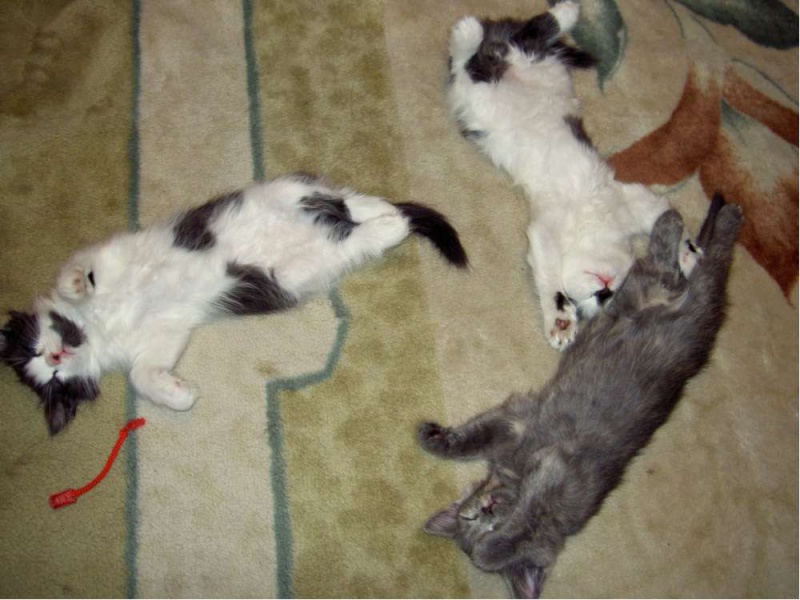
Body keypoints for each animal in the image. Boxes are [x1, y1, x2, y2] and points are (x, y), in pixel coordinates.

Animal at [0, 173, 468, 435]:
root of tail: (327, 221)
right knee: (349, 234)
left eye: (39, 348)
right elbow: (141, 373)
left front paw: (77, 284)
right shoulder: (167, 330)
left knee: (340, 196)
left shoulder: (111, 251)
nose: (57, 355)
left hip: (283, 191)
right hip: (297, 272)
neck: (100, 323)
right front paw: (179, 393)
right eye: (52, 375)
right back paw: (387, 224)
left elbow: (73, 267)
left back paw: (385, 212)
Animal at [417, 194, 743, 598]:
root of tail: (700, 326)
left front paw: (492, 549)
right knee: (679, 266)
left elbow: (523, 520)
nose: (484, 509)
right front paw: (433, 438)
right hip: (637, 294)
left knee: (691, 264)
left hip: (658, 290)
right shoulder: (516, 422)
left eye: (488, 523)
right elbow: (473, 437)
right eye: (474, 518)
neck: (514, 473)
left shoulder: (554, 473)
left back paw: (688, 219)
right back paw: (688, 222)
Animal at [446, 0, 697, 350]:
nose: (603, 291)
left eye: (606, 299)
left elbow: (666, 212)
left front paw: (687, 256)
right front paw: (560, 321)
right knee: (498, 46)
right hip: (486, 82)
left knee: (515, 41)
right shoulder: (551, 227)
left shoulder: (633, 201)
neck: (593, 219)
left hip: (513, 68)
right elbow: (550, 275)